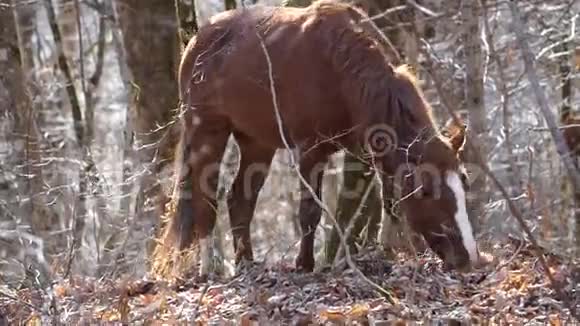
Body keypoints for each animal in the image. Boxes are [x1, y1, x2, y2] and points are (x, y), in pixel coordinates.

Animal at [161, 0, 482, 278]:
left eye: (464, 182)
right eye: (426, 190)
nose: (468, 258)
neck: (341, 68)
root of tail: (196, 41)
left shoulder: (370, 152)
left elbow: (387, 202)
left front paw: (388, 252)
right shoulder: (310, 149)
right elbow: (310, 211)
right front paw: (305, 265)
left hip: (256, 143)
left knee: (239, 199)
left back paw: (246, 263)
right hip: (208, 133)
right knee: (203, 196)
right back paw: (210, 268)